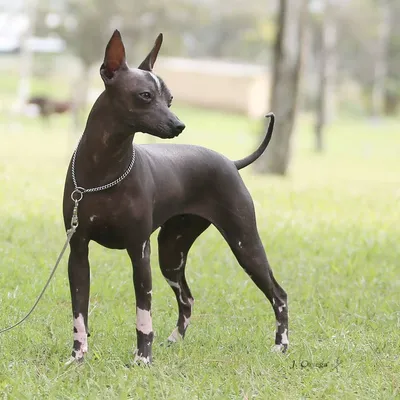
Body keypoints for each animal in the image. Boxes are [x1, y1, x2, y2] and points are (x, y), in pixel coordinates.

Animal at [62, 29, 288, 364]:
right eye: (145, 95)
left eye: (170, 99)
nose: (179, 125)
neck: (104, 168)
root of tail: (230, 162)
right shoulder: (78, 252)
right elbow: (80, 312)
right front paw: (78, 357)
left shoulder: (138, 251)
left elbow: (143, 314)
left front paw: (142, 359)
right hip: (172, 252)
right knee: (187, 297)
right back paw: (175, 339)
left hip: (244, 243)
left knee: (278, 293)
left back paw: (281, 345)